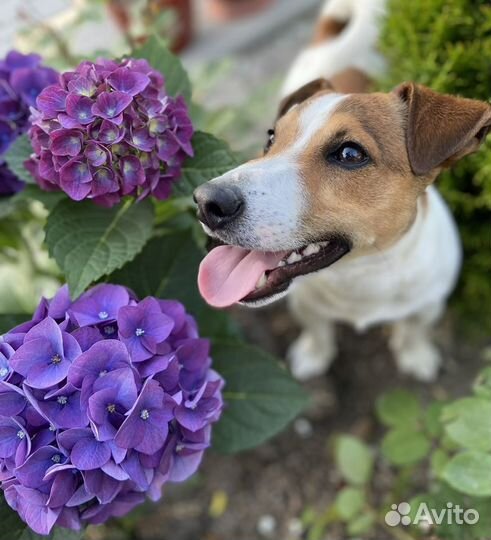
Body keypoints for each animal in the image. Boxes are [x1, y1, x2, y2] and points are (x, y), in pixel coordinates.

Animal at [194, 0, 490, 382]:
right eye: (271, 138)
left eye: (350, 154)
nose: (206, 201)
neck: (360, 273)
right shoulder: (306, 304)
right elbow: (318, 330)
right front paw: (314, 354)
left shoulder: (429, 304)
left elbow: (415, 329)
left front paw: (414, 353)